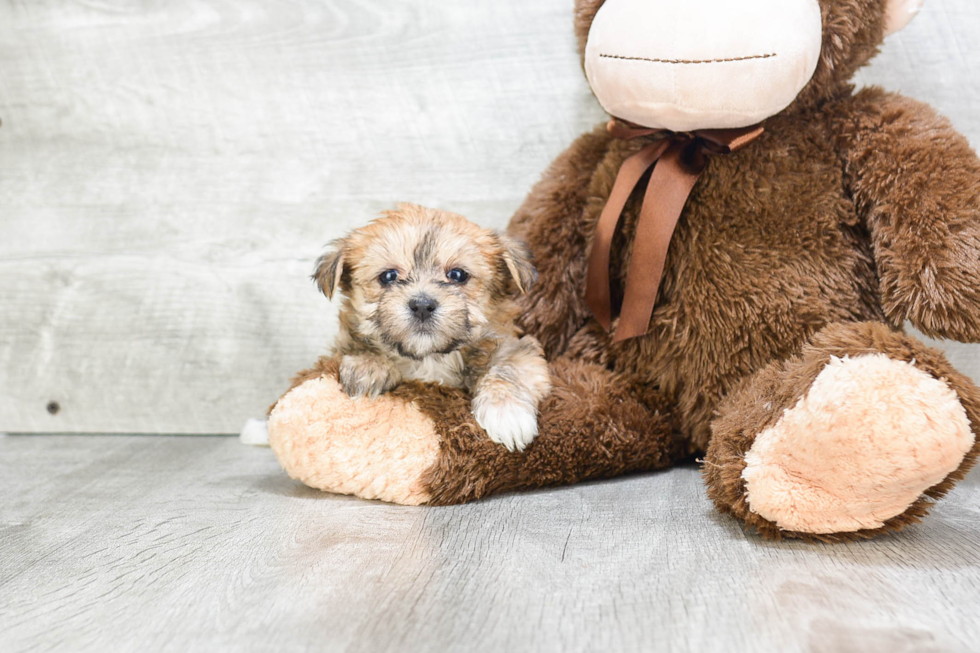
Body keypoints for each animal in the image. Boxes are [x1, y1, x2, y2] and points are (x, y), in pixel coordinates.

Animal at [318, 204, 556, 454]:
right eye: (388, 276)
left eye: (458, 275)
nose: (422, 305)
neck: (430, 359)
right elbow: (360, 349)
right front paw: (368, 368)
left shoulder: (519, 349)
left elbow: (506, 369)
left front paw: (506, 411)